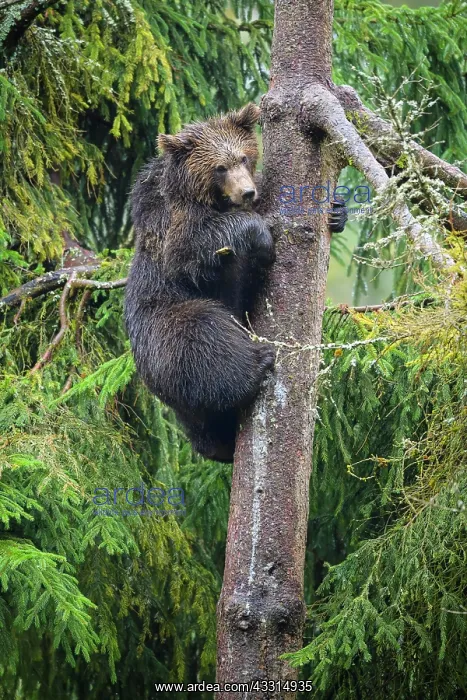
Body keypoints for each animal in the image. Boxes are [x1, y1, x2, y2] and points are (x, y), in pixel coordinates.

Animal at [124, 104, 347, 463]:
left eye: (243, 157)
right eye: (219, 167)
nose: (247, 191)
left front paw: (338, 211)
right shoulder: (171, 225)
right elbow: (195, 251)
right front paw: (262, 236)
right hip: (162, 326)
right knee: (202, 335)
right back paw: (256, 365)